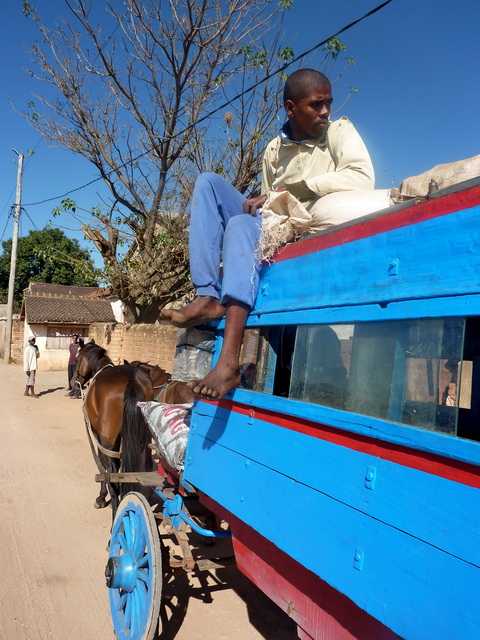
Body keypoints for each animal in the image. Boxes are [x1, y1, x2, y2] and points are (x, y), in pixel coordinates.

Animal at [74, 342, 172, 512]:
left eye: (78, 357)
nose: (75, 380)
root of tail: (132, 380)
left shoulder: (101, 438)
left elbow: (104, 467)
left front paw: (101, 498)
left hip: (108, 440)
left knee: (112, 474)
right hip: (143, 439)